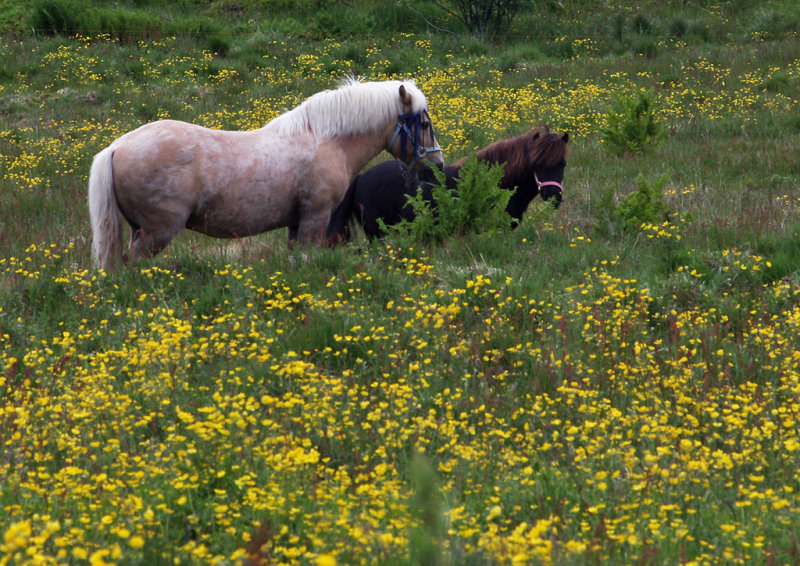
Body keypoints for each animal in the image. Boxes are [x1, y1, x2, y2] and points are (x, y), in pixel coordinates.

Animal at [90, 77, 446, 270]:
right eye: (424, 123)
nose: (438, 165)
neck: (326, 140)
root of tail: (117, 146)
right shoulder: (315, 218)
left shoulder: (296, 222)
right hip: (157, 233)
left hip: (140, 230)